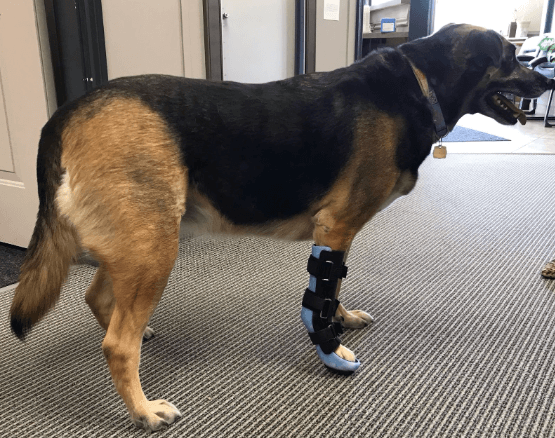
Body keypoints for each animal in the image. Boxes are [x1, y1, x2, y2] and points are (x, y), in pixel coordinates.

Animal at [9, 24, 555, 432]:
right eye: (511, 56)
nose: (546, 79)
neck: (419, 84)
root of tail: (68, 111)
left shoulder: (336, 234)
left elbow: (334, 290)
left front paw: (343, 318)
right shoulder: (336, 228)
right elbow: (324, 294)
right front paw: (331, 345)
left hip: (145, 239)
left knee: (100, 300)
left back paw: (140, 337)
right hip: (154, 246)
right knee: (116, 345)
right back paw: (143, 409)